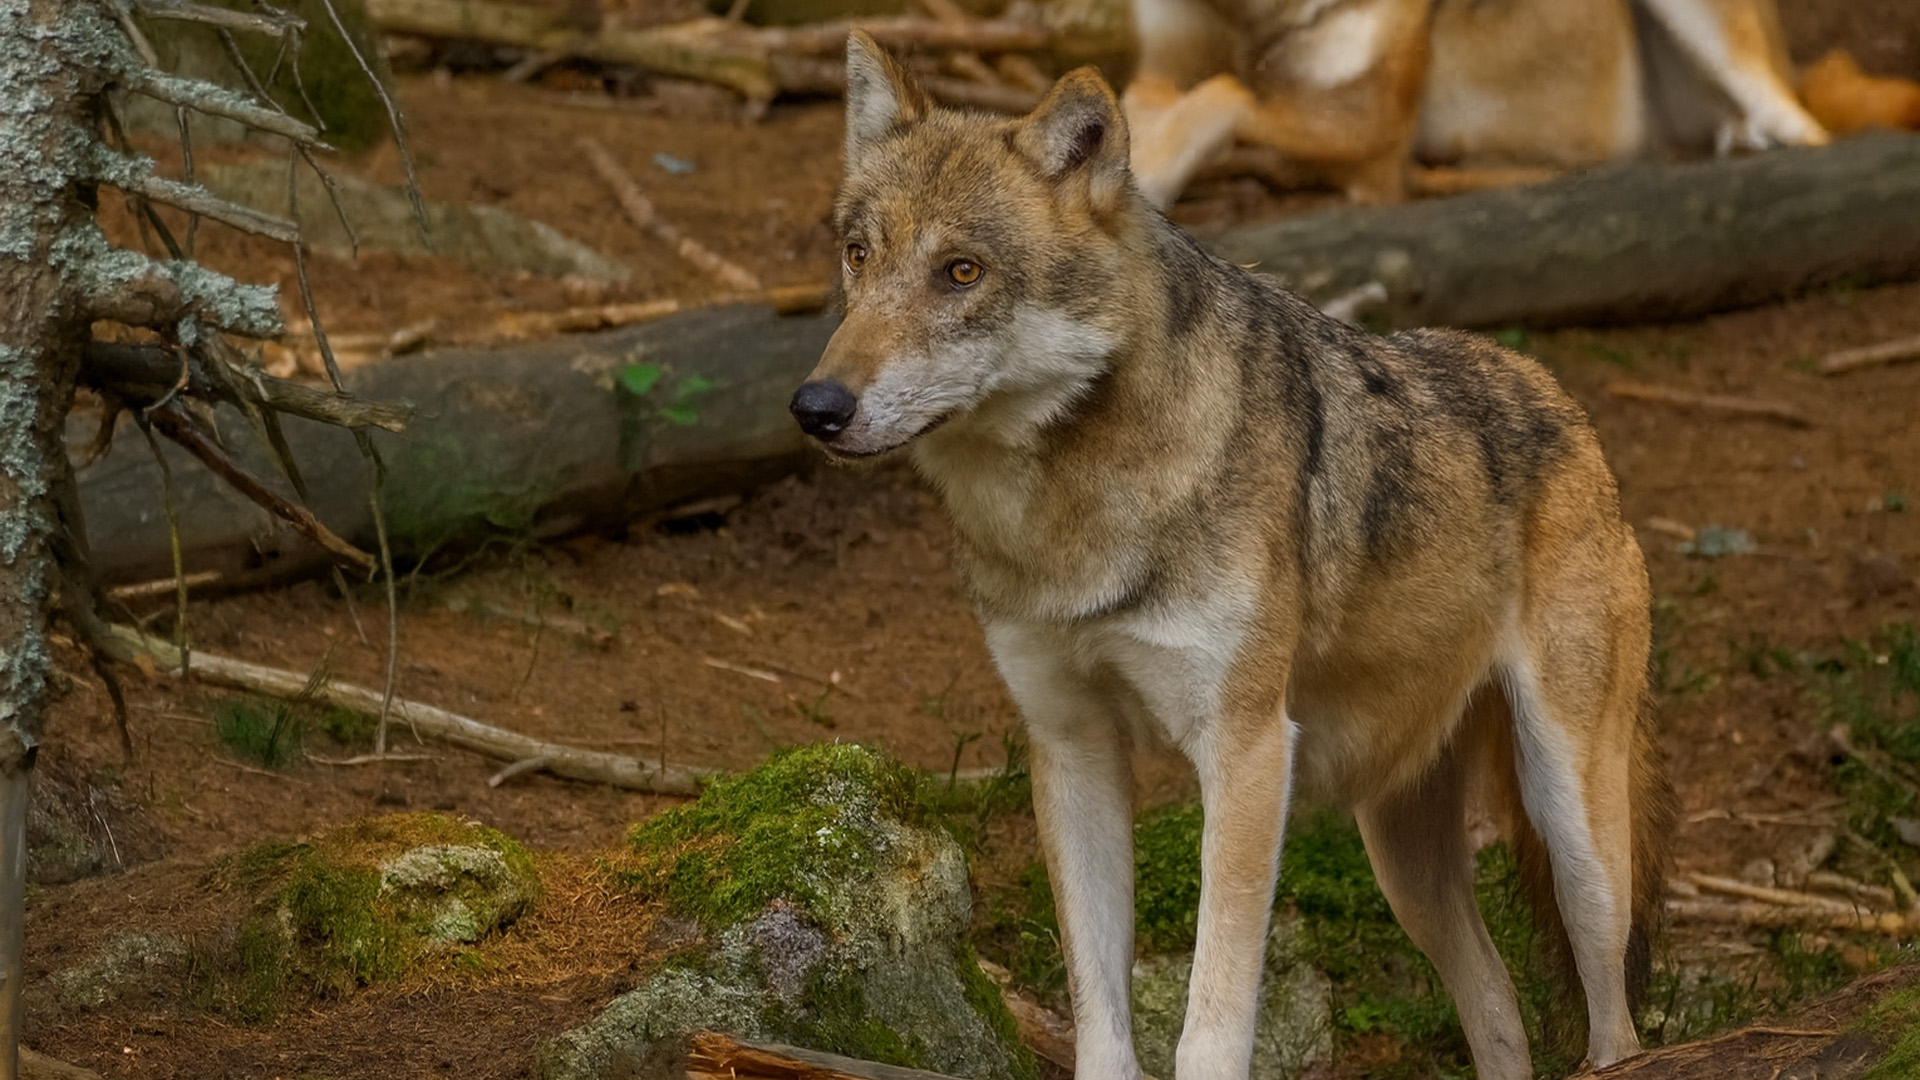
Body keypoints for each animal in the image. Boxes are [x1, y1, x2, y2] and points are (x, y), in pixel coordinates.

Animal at [791, 33, 1675, 1080]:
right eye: (858, 257)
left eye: (961, 272)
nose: (817, 407)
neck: (1070, 514)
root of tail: (1559, 398)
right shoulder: (1072, 749)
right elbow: (1101, 1014)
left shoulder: (1248, 753)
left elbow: (1210, 1024)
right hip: (1402, 859)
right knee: (1498, 1007)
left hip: (1572, 829)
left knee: (1615, 1021)